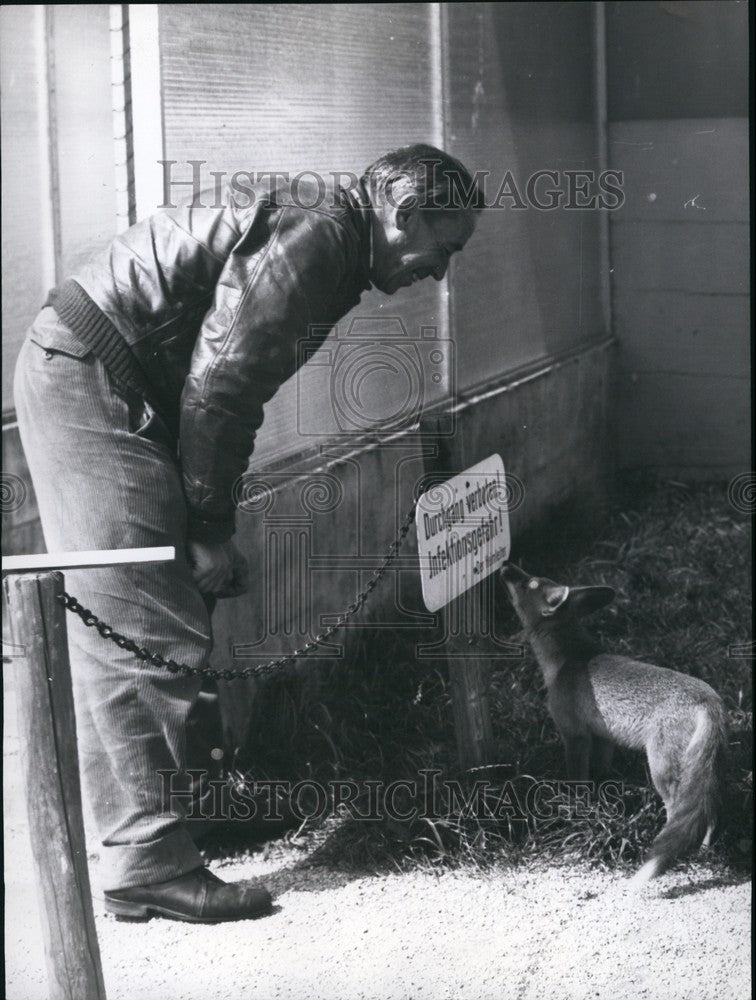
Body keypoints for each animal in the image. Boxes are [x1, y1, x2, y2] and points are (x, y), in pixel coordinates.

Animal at [502, 564, 728, 884]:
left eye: (527, 583)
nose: (505, 566)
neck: (566, 660)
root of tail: (710, 699)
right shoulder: (603, 738)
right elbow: (601, 772)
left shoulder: (575, 736)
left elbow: (577, 782)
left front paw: (574, 810)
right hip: (703, 773)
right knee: (709, 814)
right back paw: (705, 851)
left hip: (662, 770)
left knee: (678, 811)